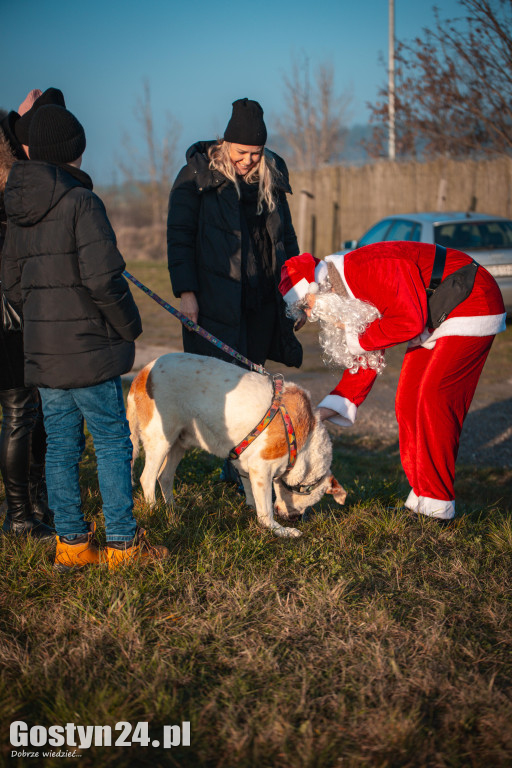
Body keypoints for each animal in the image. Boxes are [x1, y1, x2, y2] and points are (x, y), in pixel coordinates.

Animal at [126, 352, 346, 536]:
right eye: (310, 498)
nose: (295, 519)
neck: (305, 443)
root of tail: (142, 374)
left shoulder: (246, 466)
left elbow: (251, 494)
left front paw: (251, 507)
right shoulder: (262, 468)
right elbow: (266, 511)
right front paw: (280, 530)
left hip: (179, 444)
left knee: (164, 476)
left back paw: (172, 509)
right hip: (161, 440)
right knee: (147, 478)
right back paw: (155, 511)